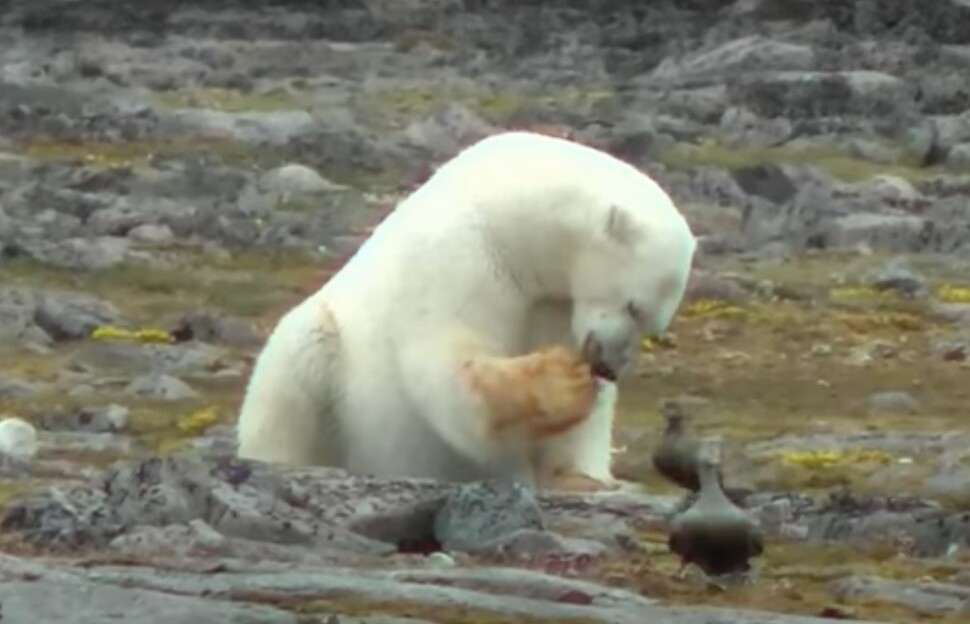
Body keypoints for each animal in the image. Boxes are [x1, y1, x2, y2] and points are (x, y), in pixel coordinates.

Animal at [239, 132, 700, 492]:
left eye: (655, 325)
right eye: (634, 306)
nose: (609, 367)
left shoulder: (558, 301)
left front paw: (581, 476)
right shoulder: (461, 252)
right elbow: (448, 364)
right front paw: (560, 379)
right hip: (328, 357)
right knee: (293, 370)